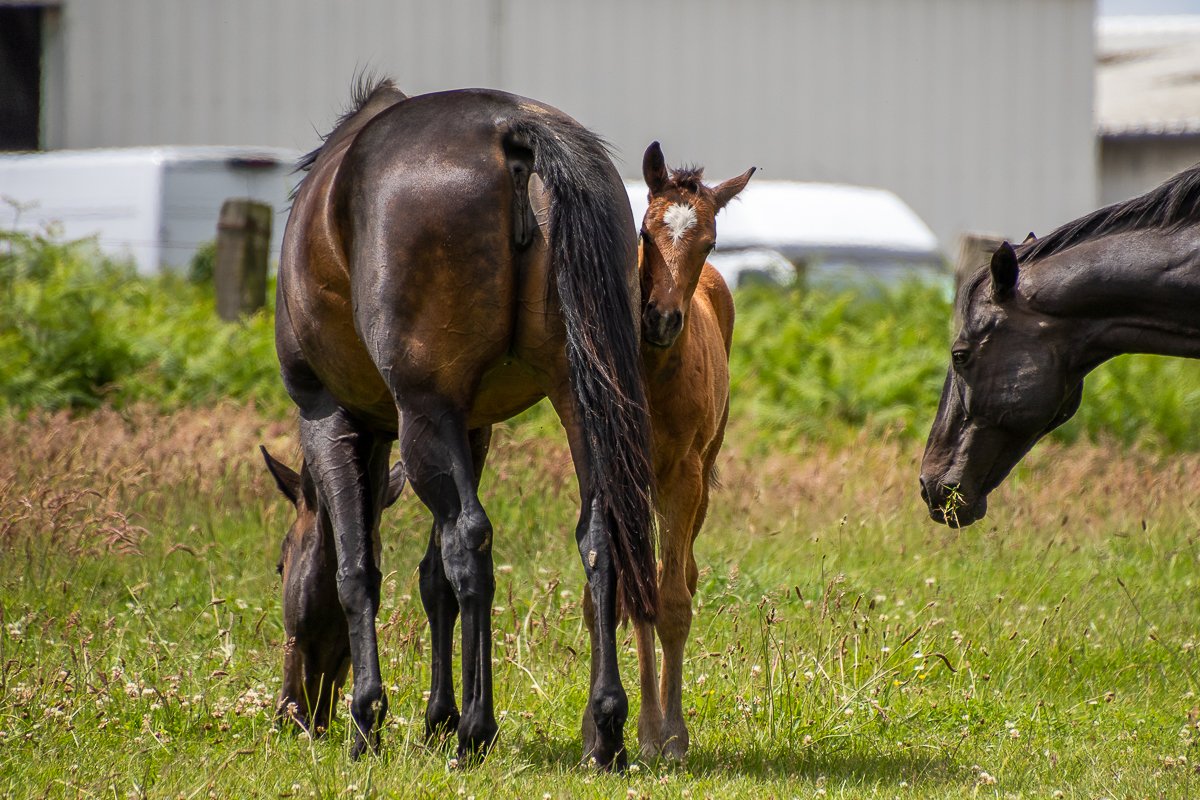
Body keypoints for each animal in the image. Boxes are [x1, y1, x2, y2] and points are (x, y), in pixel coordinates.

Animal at [269, 78, 657, 770]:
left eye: (283, 565)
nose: (294, 710)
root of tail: (513, 130)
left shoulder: (331, 416)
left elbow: (356, 570)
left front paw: (371, 719)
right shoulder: (471, 429)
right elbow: (432, 580)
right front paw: (435, 717)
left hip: (425, 412)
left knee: (470, 542)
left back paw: (478, 729)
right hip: (576, 398)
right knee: (595, 535)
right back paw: (605, 729)